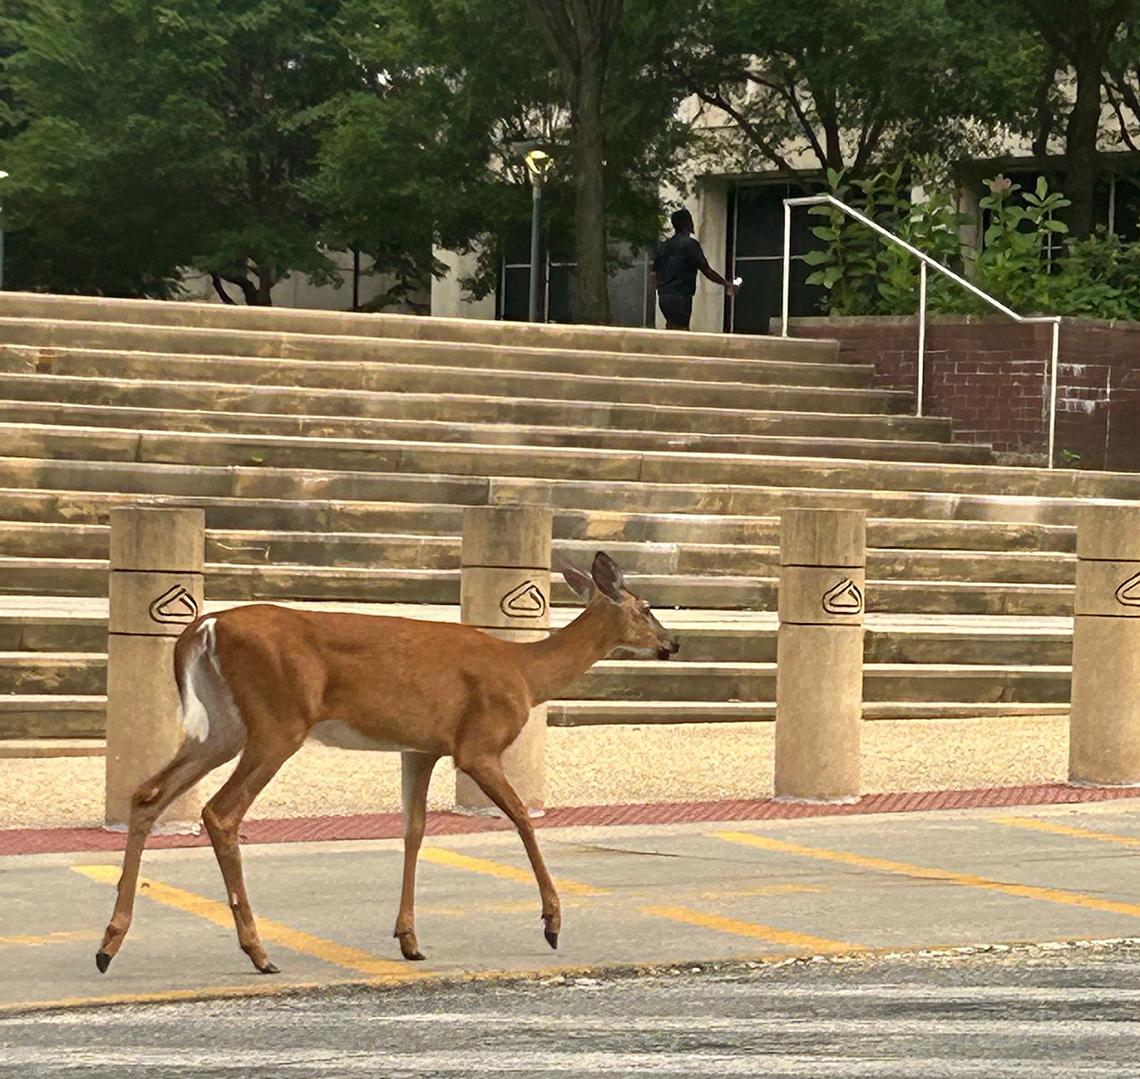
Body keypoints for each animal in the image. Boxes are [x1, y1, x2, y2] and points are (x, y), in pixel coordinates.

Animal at [94, 551, 679, 975]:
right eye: (648, 606)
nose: (673, 643)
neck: (526, 673)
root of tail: (206, 626)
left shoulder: (419, 747)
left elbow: (413, 831)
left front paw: (409, 940)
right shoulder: (477, 744)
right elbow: (521, 819)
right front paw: (553, 923)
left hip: (222, 727)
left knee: (147, 793)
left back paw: (109, 945)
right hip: (277, 722)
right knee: (221, 812)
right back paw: (258, 952)